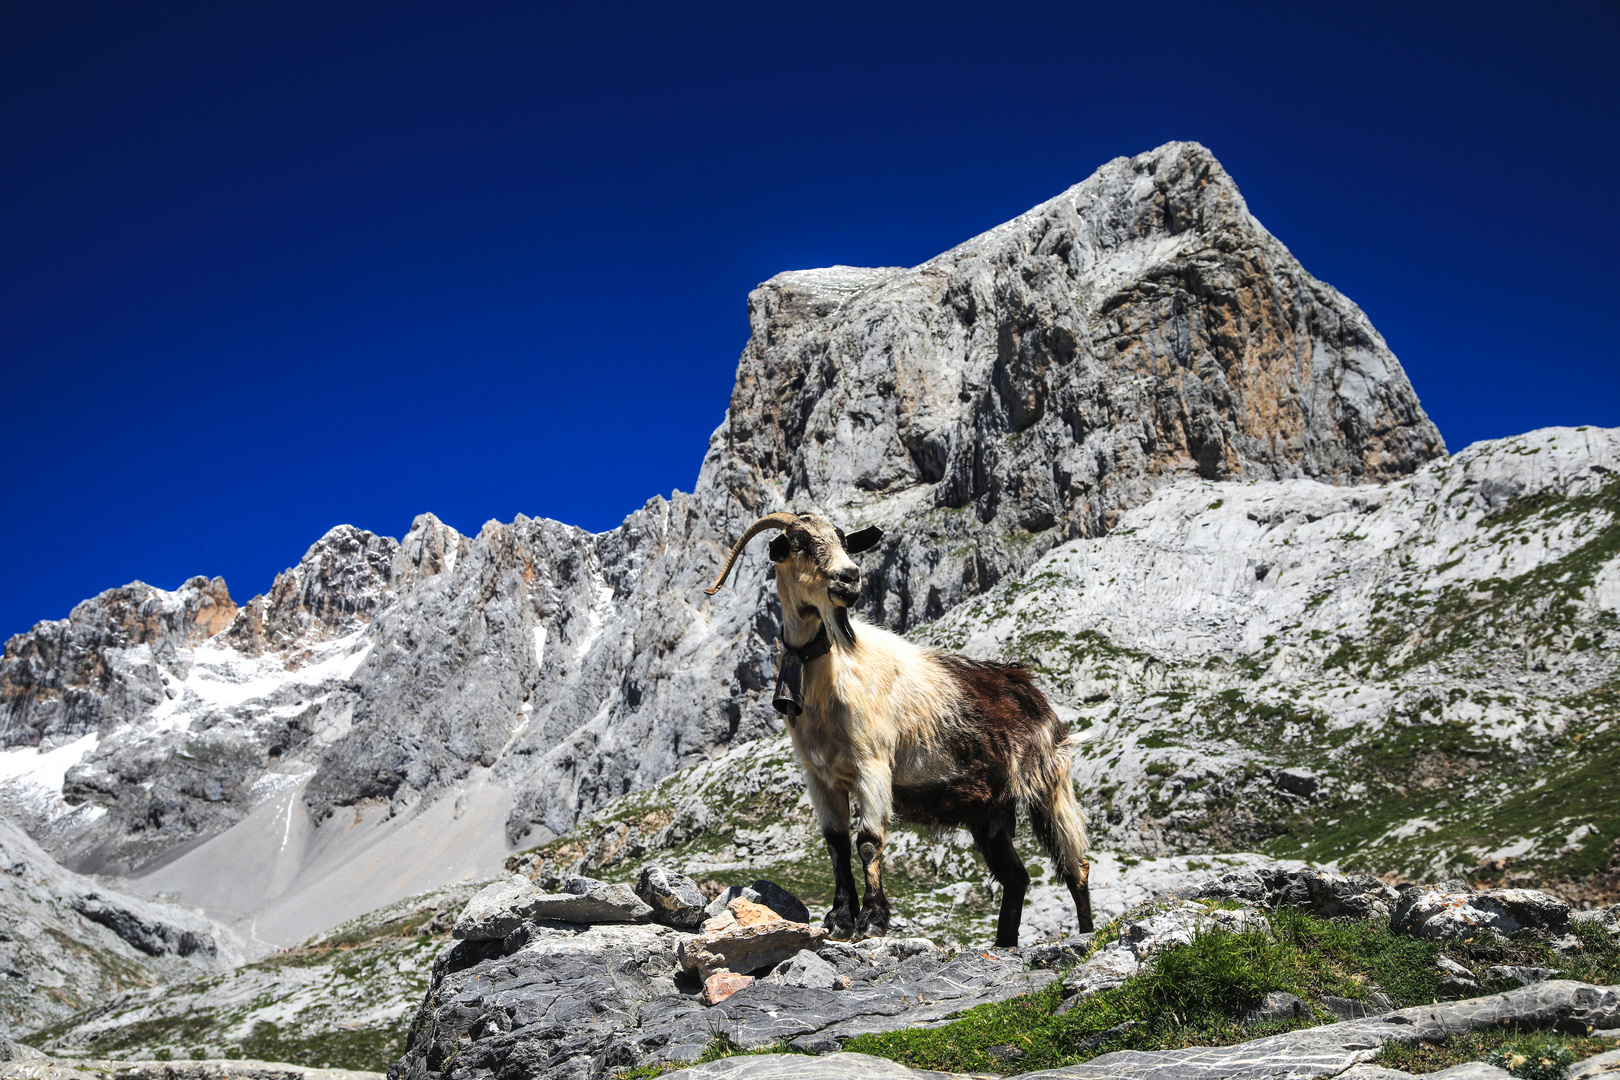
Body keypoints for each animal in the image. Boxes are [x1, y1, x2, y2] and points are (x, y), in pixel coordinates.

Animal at [703, 514, 1095, 945]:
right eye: (798, 543)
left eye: (844, 542)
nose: (850, 578)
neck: (834, 675)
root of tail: (1029, 689)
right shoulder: (820, 777)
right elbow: (836, 846)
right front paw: (839, 919)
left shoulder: (873, 765)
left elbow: (868, 843)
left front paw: (871, 921)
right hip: (988, 813)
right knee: (1017, 878)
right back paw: (1003, 944)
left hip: (1048, 783)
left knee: (1075, 863)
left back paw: (1087, 933)